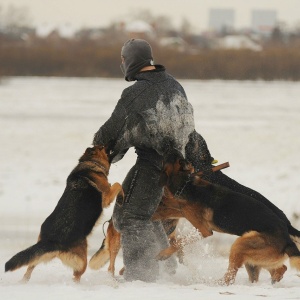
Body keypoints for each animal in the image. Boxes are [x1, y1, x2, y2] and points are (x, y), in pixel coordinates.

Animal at [3, 145, 123, 282]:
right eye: (103, 147)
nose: (113, 145)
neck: (90, 163)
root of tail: (51, 241)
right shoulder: (107, 197)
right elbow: (118, 184)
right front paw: (122, 197)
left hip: (41, 255)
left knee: (29, 268)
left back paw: (24, 282)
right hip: (82, 261)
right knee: (76, 276)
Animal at [156, 151, 300, 284]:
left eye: (172, 157)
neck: (186, 185)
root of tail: (288, 240)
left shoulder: (203, 230)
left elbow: (180, 241)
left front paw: (164, 254)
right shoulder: (179, 209)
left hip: (240, 245)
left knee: (229, 278)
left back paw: (212, 283)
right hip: (255, 255)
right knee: (280, 268)